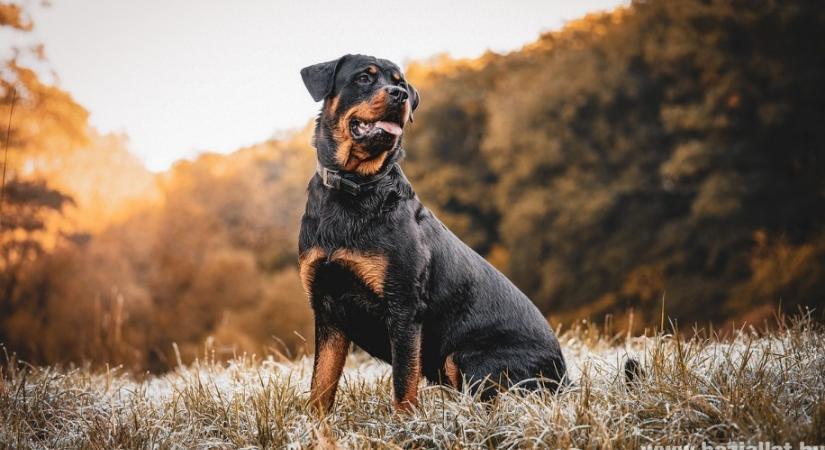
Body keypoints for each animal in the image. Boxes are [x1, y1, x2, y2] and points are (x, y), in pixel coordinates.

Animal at [296, 54, 568, 414]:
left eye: (400, 83)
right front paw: (316, 425)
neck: (354, 188)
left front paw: (404, 424)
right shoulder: (326, 307)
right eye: (364, 78)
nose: (399, 95)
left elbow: (403, 383)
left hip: (468, 358)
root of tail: (565, 377)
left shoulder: (404, 306)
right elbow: (321, 385)